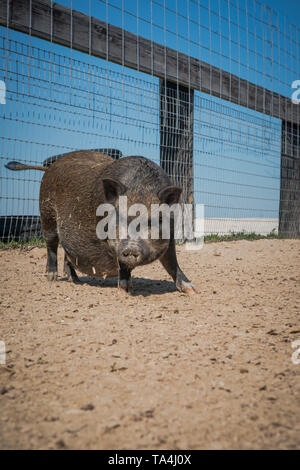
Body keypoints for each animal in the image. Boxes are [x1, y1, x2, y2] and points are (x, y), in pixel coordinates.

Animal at [5, 150, 198, 294]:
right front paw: (125, 290)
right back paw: (52, 279)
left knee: (67, 252)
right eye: (119, 218)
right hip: (47, 213)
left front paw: (192, 290)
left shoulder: (170, 237)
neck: (142, 188)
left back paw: (75, 280)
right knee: (51, 245)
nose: (131, 248)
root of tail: (49, 167)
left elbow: (172, 263)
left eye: (156, 220)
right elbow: (123, 264)